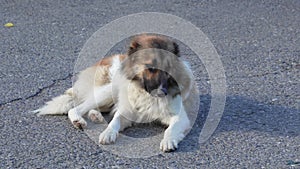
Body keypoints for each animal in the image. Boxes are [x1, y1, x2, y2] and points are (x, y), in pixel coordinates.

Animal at [34, 34, 195, 152]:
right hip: (108, 90)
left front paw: (168, 140)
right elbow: (115, 120)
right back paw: (80, 120)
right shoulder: (127, 112)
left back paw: (96, 116)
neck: (145, 93)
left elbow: (171, 128)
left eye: (168, 69)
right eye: (150, 68)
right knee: (76, 108)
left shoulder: (180, 117)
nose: (163, 92)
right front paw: (108, 132)